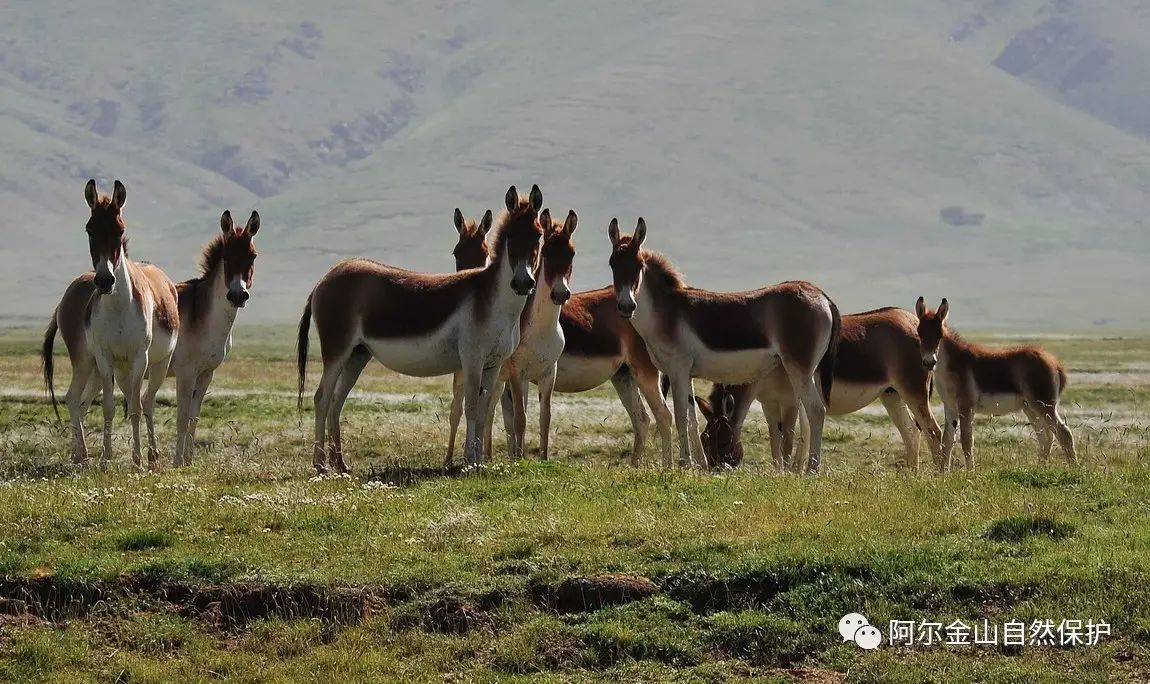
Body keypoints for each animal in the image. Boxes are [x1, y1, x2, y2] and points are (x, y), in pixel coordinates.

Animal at [40, 181, 178, 469]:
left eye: (120, 229)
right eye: (89, 229)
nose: (104, 281)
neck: (119, 308)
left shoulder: (139, 358)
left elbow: (134, 408)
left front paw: (136, 460)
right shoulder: (105, 359)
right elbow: (108, 407)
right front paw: (105, 458)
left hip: (158, 363)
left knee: (147, 401)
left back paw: (152, 455)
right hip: (87, 361)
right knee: (76, 398)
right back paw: (81, 456)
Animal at [301, 185, 542, 473]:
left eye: (538, 236)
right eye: (510, 236)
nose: (523, 283)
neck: (493, 301)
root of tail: (324, 279)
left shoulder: (493, 365)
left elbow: (484, 412)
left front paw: (478, 462)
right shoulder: (472, 360)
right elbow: (471, 407)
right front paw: (469, 462)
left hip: (357, 355)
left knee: (336, 401)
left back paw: (341, 464)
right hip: (337, 350)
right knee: (322, 398)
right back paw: (320, 465)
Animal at [607, 218, 841, 471]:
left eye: (638, 265)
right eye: (612, 264)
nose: (626, 307)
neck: (665, 311)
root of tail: (822, 295)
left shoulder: (678, 369)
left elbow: (681, 416)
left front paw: (684, 463)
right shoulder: (686, 373)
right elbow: (692, 419)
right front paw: (698, 465)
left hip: (798, 368)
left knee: (816, 410)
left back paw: (812, 470)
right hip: (810, 371)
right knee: (811, 416)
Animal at [910, 298, 1071, 471]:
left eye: (939, 335)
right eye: (919, 333)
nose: (929, 362)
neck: (950, 366)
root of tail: (1055, 363)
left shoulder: (966, 407)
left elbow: (966, 440)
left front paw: (970, 472)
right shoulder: (950, 406)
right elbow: (947, 440)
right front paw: (943, 473)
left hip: (1044, 405)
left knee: (1064, 433)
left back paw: (1073, 467)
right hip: (1030, 407)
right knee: (1046, 437)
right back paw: (1040, 468)